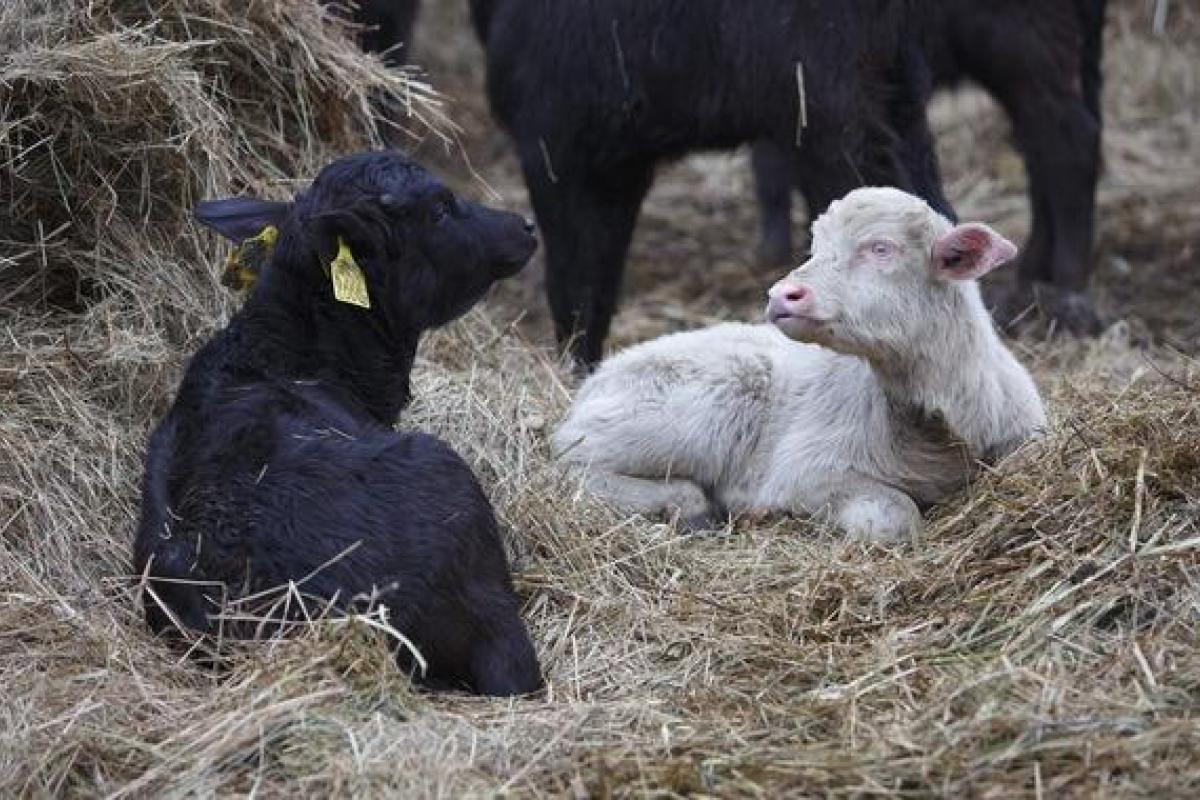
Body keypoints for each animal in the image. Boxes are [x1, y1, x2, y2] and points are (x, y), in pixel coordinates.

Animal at [556, 184, 1046, 542]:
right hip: (692, 409)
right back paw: (687, 503)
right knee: (568, 462)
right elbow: (893, 516)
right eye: (814, 246)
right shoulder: (804, 471)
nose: (781, 295)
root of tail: (599, 378)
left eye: (881, 249)